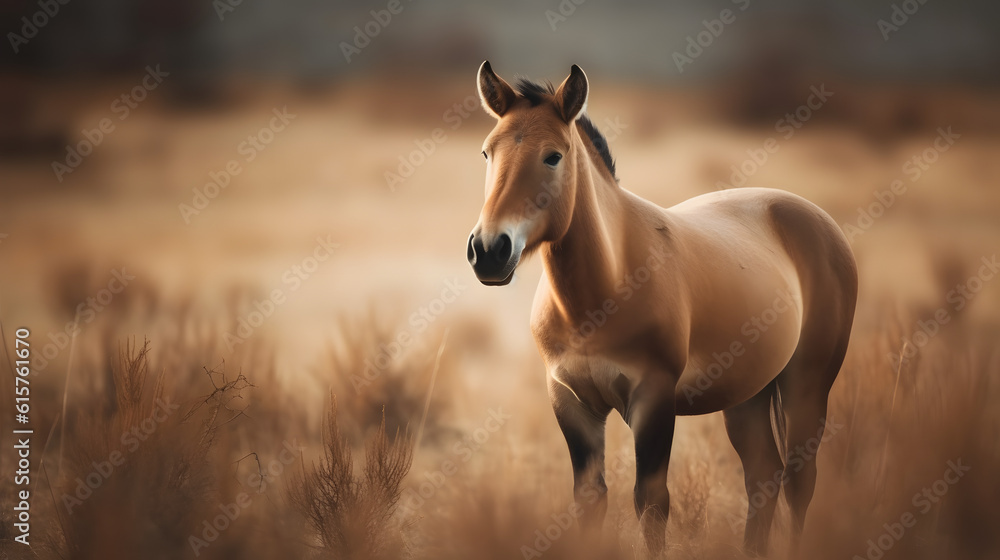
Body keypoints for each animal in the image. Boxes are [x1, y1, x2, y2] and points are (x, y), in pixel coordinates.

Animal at [465, 61, 858, 556]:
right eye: (487, 152)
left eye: (553, 156)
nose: (488, 250)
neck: (600, 293)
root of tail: (816, 219)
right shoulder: (570, 401)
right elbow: (590, 500)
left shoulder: (653, 399)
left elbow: (651, 503)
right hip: (748, 395)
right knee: (762, 477)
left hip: (807, 385)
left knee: (798, 483)